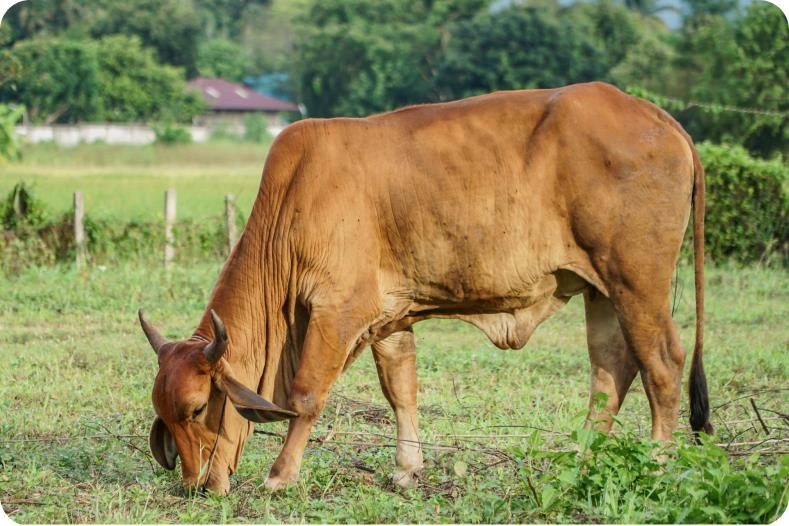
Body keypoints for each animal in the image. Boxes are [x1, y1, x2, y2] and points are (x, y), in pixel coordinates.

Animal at [139, 82, 712, 495]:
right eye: (164, 412)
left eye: (197, 408)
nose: (195, 485)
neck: (293, 202)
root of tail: (662, 120)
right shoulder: (390, 317)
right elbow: (401, 389)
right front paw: (407, 469)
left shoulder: (336, 310)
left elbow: (306, 395)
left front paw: (280, 476)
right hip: (602, 291)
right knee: (610, 372)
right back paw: (584, 459)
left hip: (637, 281)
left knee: (662, 365)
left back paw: (657, 464)